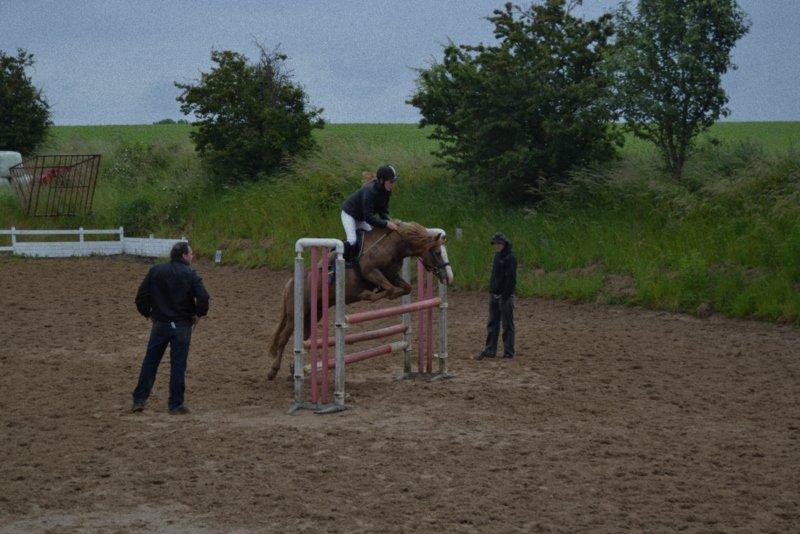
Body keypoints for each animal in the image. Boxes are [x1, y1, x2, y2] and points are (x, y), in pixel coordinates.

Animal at [267, 220, 453, 380]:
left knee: (304, 340)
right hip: (295, 314)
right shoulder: (371, 271)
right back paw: (273, 371)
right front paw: (366, 295)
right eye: (437, 253)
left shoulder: (392, 276)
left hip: (314, 314)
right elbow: (389, 289)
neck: (393, 246)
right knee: (283, 338)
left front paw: (380, 293)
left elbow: (405, 288)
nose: (448, 277)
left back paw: (294, 371)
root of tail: (292, 281)